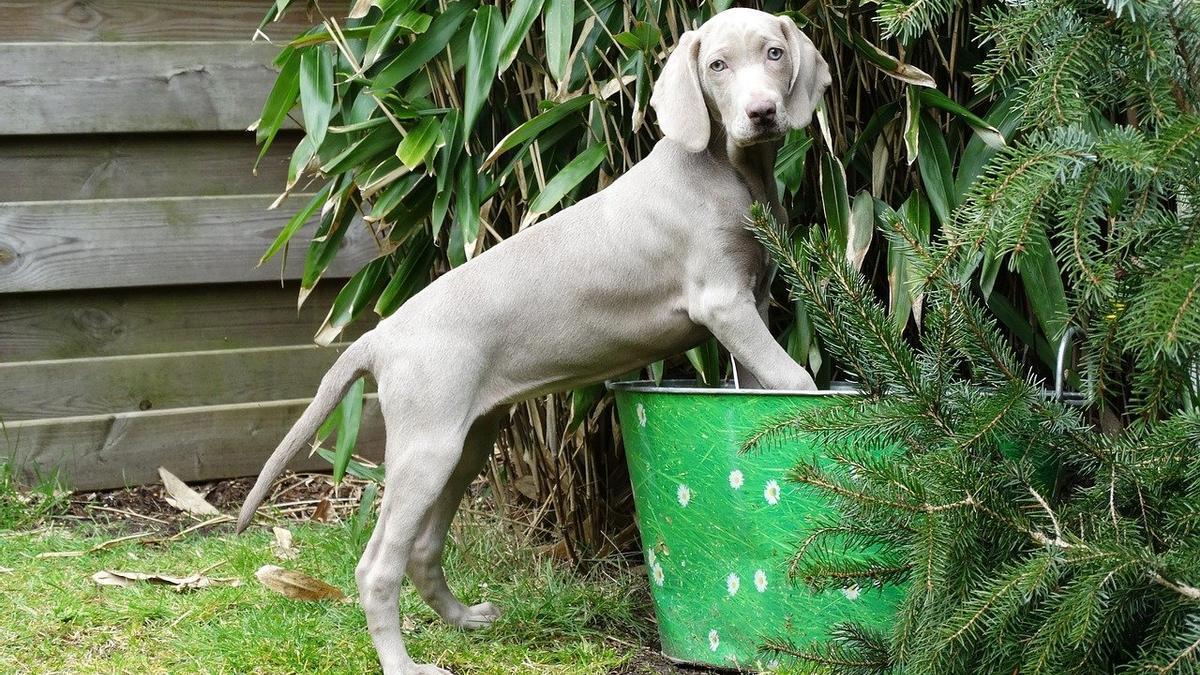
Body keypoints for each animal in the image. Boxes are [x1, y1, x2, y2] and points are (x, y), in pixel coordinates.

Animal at [238, 10, 830, 672]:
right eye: (717, 66)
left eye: (775, 54)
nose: (762, 113)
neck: (727, 167)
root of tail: (382, 334)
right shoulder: (723, 303)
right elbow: (796, 379)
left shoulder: (752, 304)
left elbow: (762, 385)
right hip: (426, 448)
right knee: (375, 568)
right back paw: (403, 663)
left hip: (466, 442)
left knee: (421, 548)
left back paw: (465, 620)